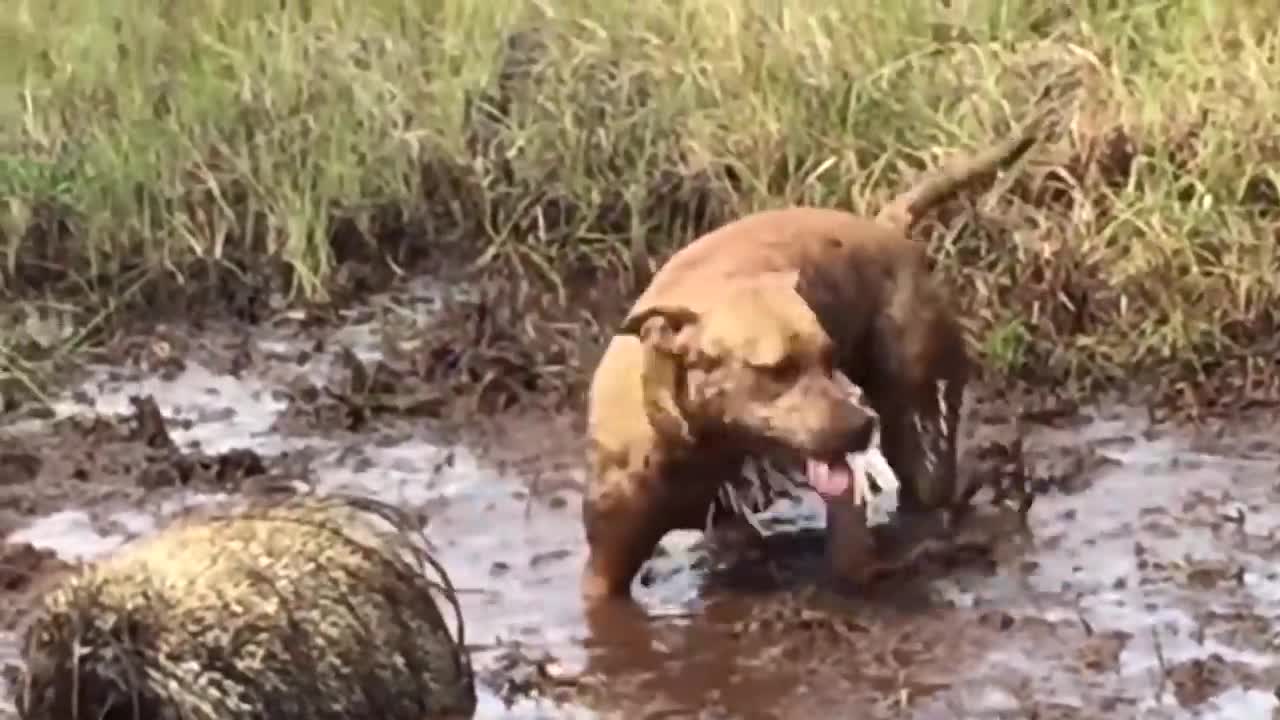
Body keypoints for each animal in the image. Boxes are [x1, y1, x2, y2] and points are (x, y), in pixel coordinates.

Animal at [581, 117, 1039, 599]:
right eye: (777, 370)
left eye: (829, 356)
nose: (861, 426)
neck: (696, 440)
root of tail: (886, 228)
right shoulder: (606, 567)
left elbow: (850, 549)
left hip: (919, 414)